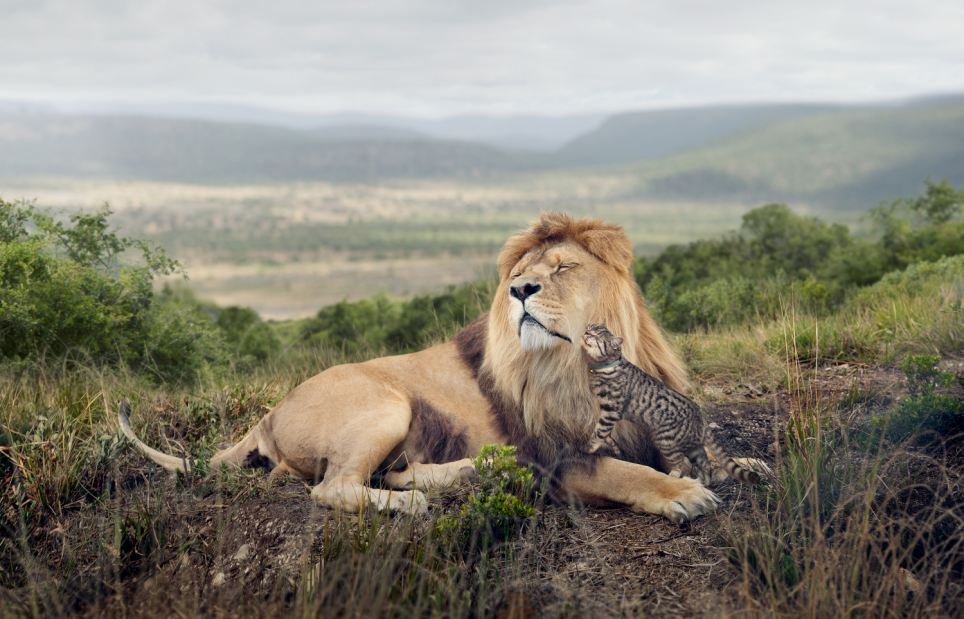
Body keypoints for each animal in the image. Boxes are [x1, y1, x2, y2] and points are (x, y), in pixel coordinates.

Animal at [119, 213, 720, 523]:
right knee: (333, 487)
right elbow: (624, 472)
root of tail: (267, 415)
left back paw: (473, 472)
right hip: (386, 405)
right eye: (519, 274)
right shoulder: (557, 459)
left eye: (565, 267)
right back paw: (413, 502)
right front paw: (684, 494)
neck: (575, 362)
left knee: (388, 471)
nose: (519, 290)